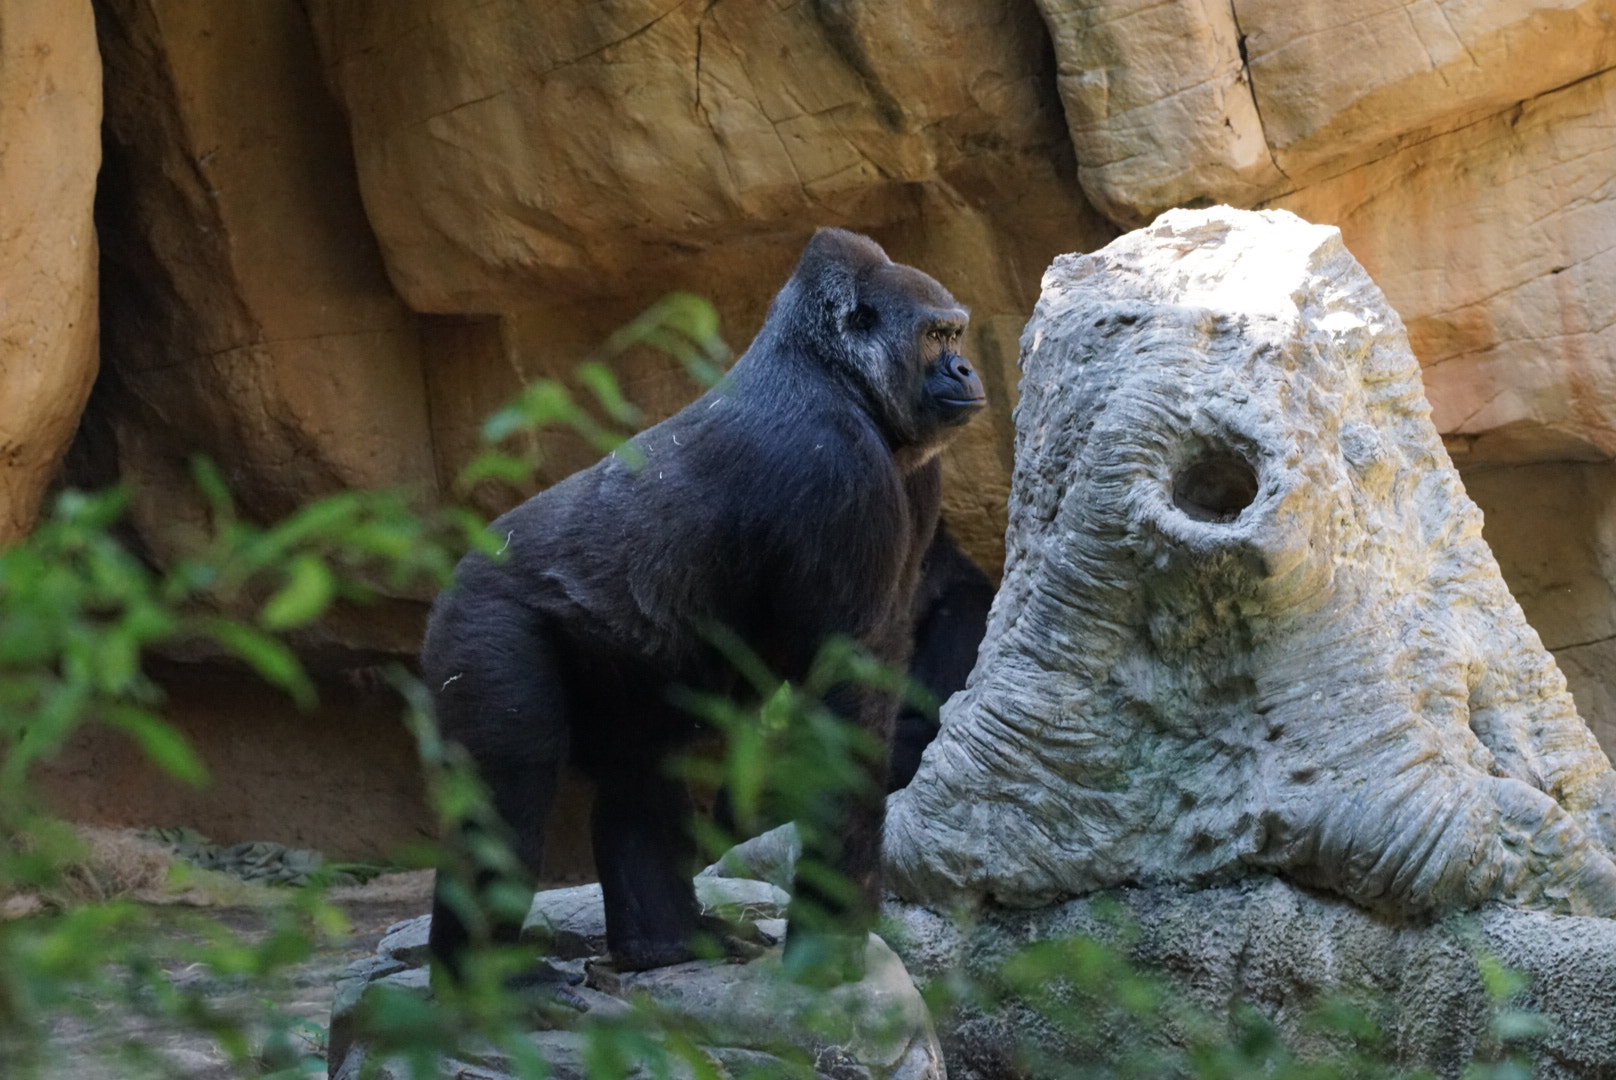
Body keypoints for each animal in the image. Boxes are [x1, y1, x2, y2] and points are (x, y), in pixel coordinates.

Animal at [423, 229, 982, 989]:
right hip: (478, 620)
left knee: (642, 763)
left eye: (955, 332)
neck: (831, 369)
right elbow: (847, 696)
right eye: (935, 335)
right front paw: (829, 944)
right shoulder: (836, 469)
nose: (965, 368)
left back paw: (663, 945)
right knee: (508, 789)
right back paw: (481, 983)